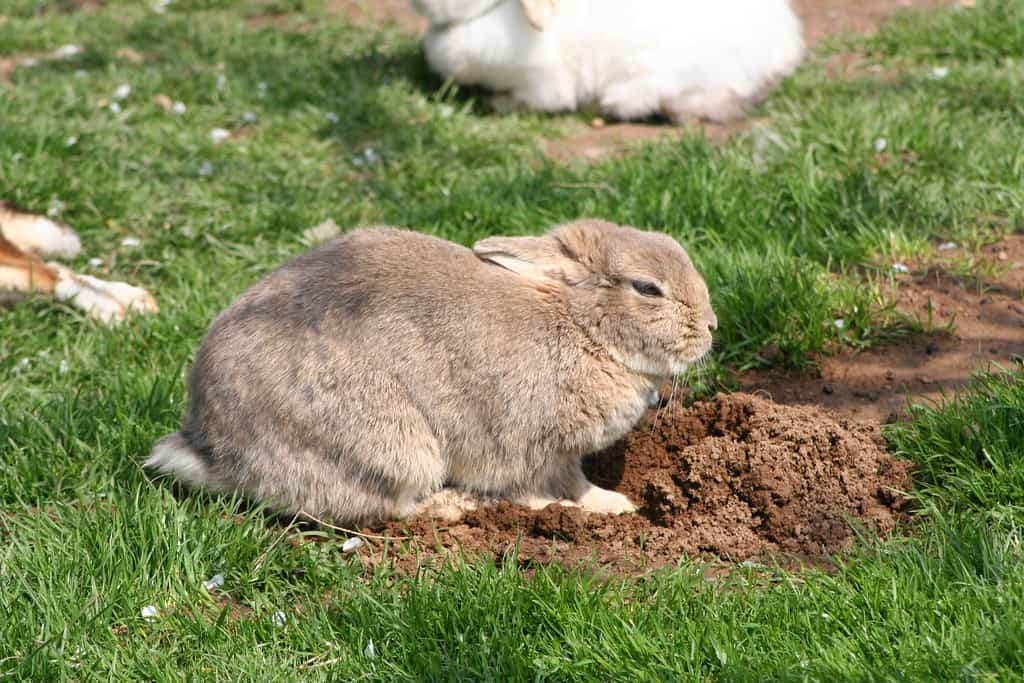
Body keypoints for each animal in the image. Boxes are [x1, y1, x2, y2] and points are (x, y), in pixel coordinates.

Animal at [145, 219, 717, 525]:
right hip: (389, 446)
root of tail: (210, 446)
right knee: (393, 506)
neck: (579, 325)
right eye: (647, 289)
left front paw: (610, 503)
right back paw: (456, 506)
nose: (711, 326)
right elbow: (544, 487)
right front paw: (588, 508)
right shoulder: (529, 446)